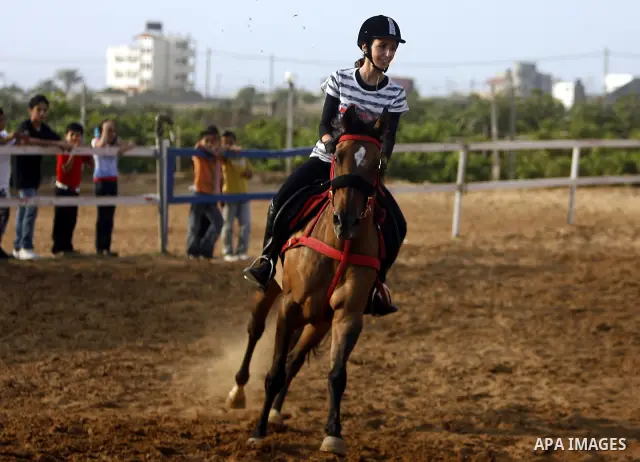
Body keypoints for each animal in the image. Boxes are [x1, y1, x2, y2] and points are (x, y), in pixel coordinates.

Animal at [228, 104, 392, 456]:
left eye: (377, 162)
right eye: (339, 154)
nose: (346, 220)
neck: (339, 245)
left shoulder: (347, 316)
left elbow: (336, 374)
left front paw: (333, 434)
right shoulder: (289, 306)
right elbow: (274, 372)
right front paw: (258, 431)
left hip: (319, 320)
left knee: (295, 359)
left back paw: (276, 411)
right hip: (270, 290)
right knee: (255, 331)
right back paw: (238, 392)